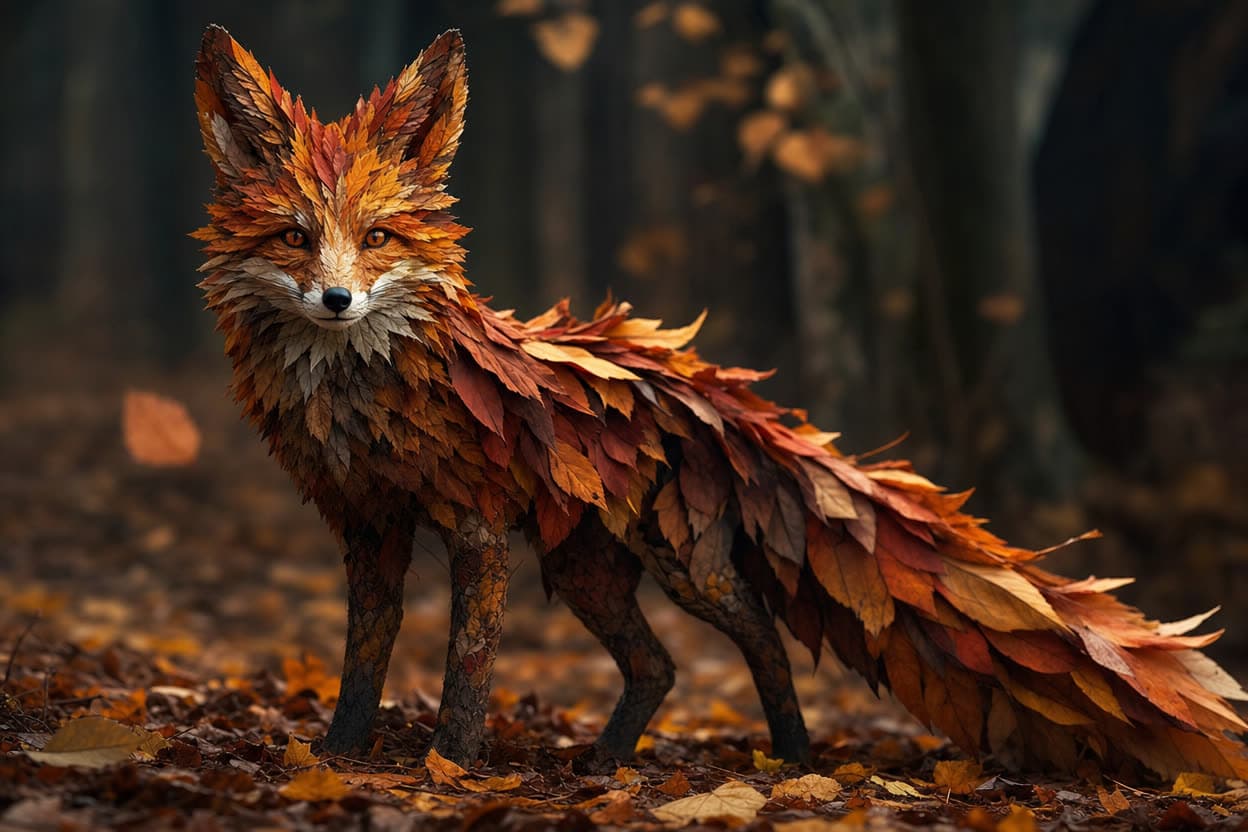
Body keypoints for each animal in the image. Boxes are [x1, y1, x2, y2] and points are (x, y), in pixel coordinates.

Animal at [194, 25, 1248, 776]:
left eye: (376, 239)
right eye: (294, 237)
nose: (337, 300)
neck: (360, 393)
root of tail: (706, 386)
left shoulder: (476, 527)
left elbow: (468, 667)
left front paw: (450, 768)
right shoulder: (369, 524)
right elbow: (363, 660)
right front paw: (337, 756)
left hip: (686, 565)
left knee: (765, 639)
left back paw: (794, 757)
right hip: (588, 568)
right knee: (658, 666)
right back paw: (605, 763)